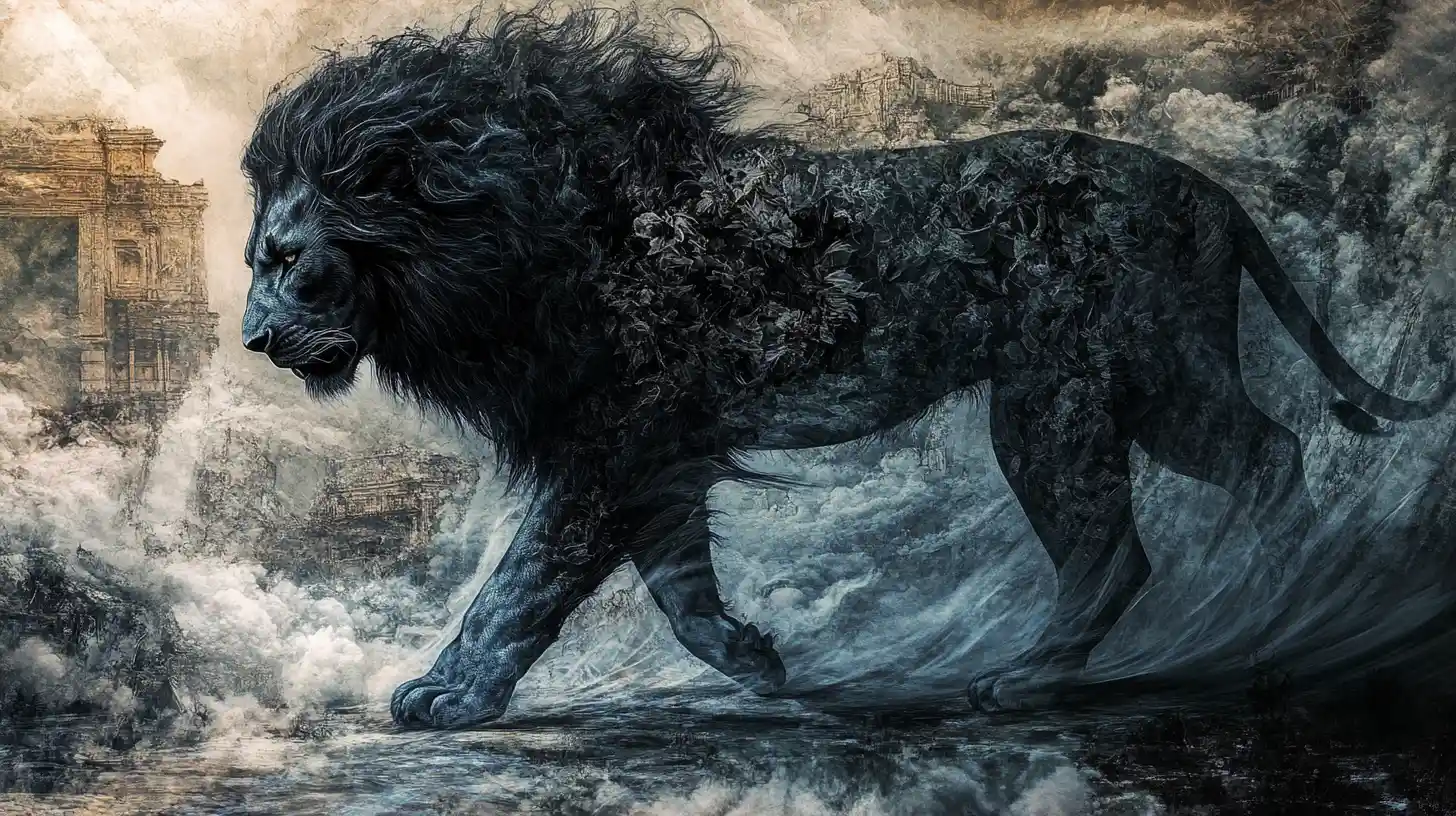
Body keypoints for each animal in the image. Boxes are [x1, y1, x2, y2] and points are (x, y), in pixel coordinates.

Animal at [238, 6, 1455, 728]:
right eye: (255, 264)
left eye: (292, 264)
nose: (251, 338)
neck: (497, 222)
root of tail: (1214, 193)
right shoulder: (655, 452)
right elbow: (678, 586)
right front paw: (757, 661)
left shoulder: (608, 444)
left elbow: (522, 583)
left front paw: (448, 693)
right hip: (1126, 388)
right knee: (1245, 465)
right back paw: (1273, 605)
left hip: (1082, 391)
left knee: (1145, 526)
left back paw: (1103, 657)